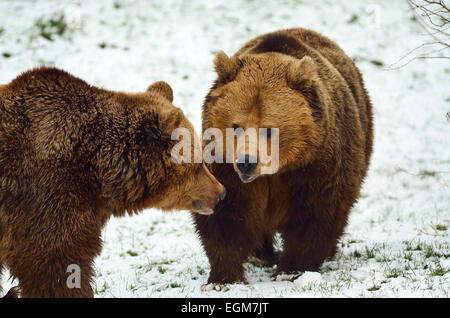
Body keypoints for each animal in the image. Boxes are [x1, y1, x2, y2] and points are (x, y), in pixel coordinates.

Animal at [193, 28, 372, 286]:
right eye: (236, 126)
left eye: (269, 129)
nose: (246, 162)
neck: (275, 171)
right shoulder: (225, 165)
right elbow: (226, 213)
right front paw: (223, 278)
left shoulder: (315, 163)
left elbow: (314, 212)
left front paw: (291, 270)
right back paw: (261, 254)